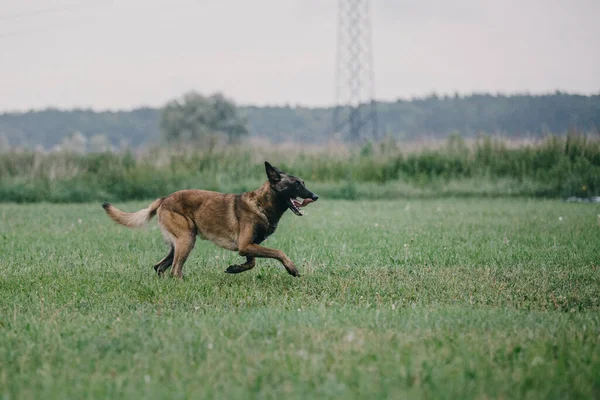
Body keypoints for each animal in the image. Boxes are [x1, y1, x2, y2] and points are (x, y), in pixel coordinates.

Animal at [102, 162, 318, 278]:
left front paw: (235, 269)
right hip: (186, 240)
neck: (261, 204)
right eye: (296, 184)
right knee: (175, 270)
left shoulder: (248, 246)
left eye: (303, 182)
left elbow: (252, 263)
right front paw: (291, 268)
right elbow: (277, 252)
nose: (315, 196)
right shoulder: (246, 245)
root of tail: (164, 199)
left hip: (179, 243)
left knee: (160, 266)